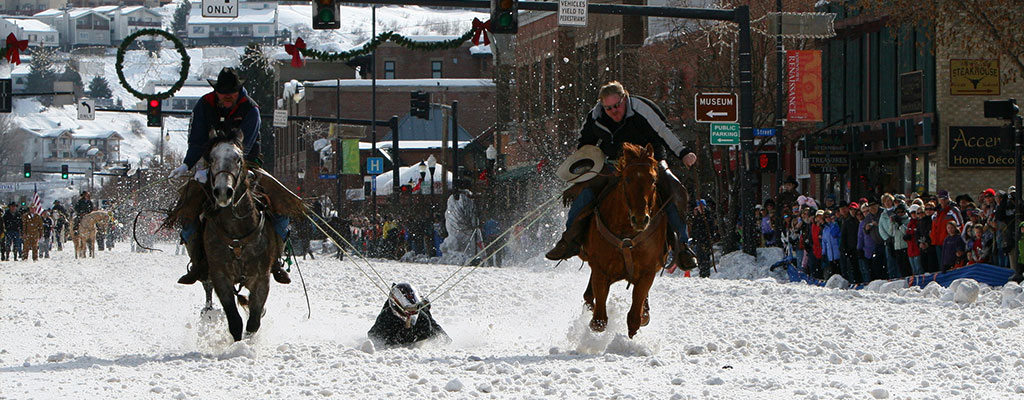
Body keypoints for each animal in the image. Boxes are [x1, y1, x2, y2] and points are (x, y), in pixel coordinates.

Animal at [581, 144, 667, 337]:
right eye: (627, 179)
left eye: (653, 180)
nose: (641, 219)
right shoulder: (600, 270)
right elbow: (599, 321)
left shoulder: (648, 272)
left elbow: (635, 317)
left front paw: (641, 317)